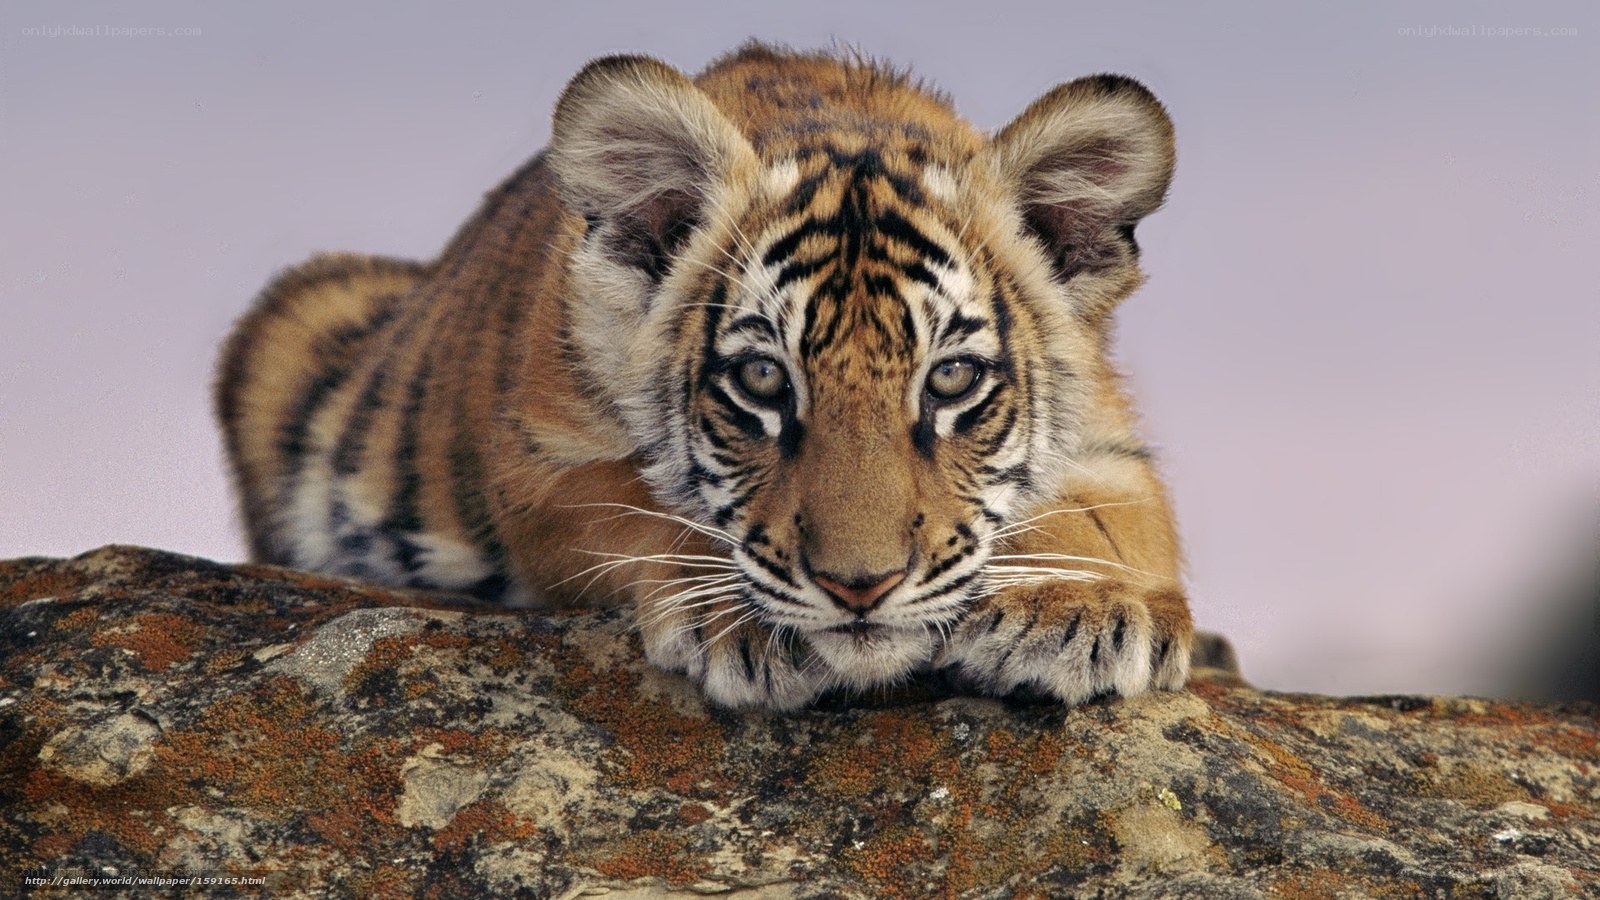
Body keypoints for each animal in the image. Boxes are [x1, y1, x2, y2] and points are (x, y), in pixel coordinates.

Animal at [216, 43, 1194, 711]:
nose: (860, 589)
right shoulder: (540, 461)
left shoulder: (1112, 445)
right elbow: (639, 504)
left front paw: (1075, 606)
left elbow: (1106, 520)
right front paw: (743, 619)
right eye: (762, 380)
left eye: (950, 381)